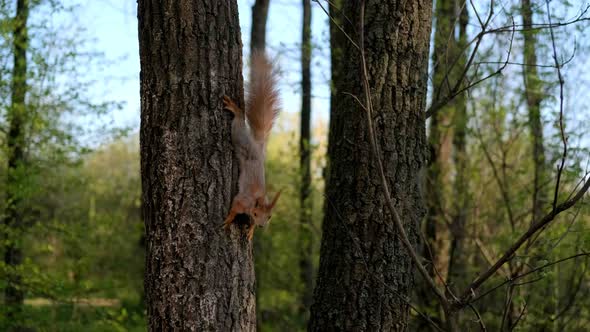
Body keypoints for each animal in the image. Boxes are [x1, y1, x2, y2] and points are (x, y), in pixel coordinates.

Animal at [224, 52, 284, 240]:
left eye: (270, 216)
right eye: (257, 214)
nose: (261, 226)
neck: (258, 200)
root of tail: (258, 146)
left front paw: (250, 230)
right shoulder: (243, 200)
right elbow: (234, 207)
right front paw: (228, 219)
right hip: (240, 139)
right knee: (238, 124)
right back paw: (236, 110)